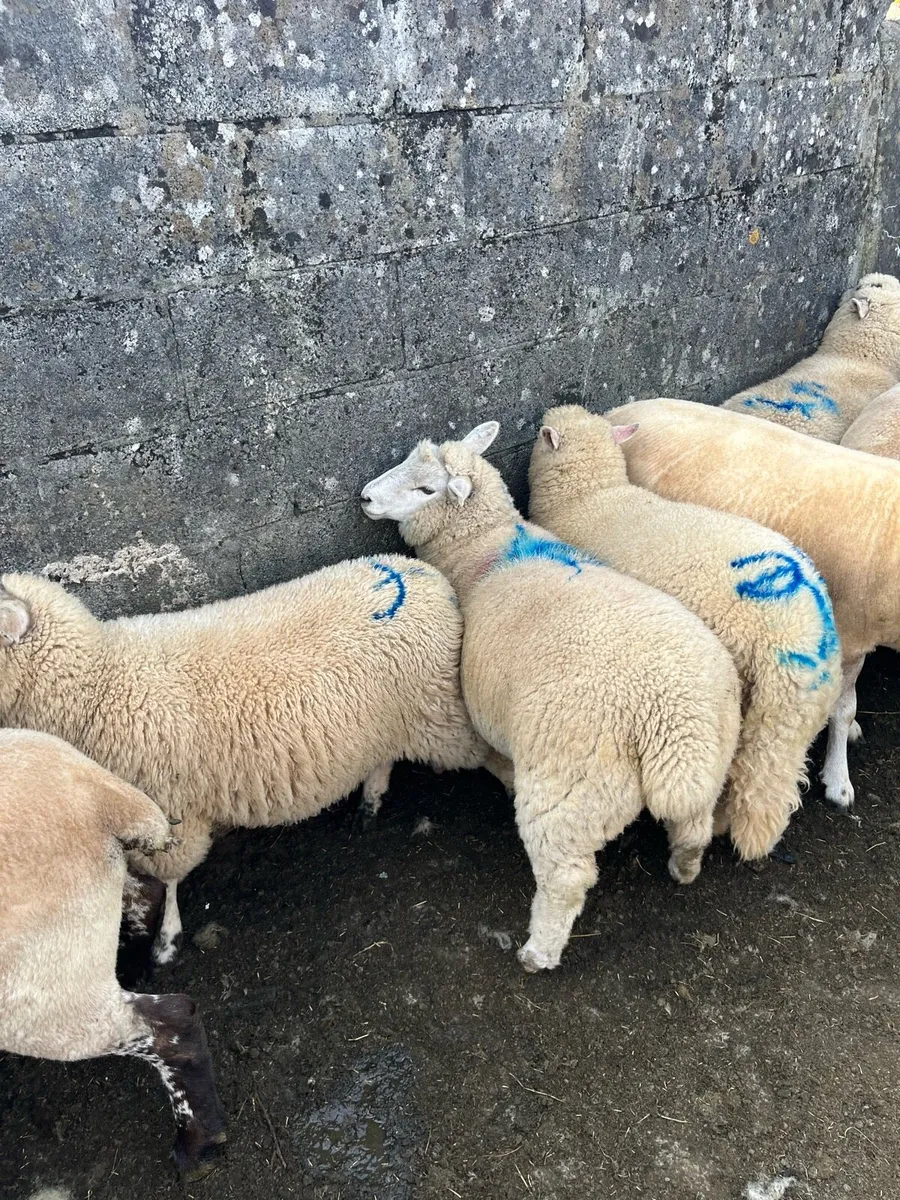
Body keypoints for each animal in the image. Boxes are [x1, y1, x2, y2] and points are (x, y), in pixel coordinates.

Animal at [0, 556, 489, 965]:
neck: (95, 685)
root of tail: (428, 577)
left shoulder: (171, 809)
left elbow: (169, 880)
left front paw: (166, 942)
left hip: (441, 711)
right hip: (384, 723)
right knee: (382, 759)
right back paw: (369, 804)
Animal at [0, 728, 226, 1181]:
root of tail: (99, 795)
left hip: (38, 994)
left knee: (171, 1021)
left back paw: (198, 1146)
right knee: (149, 893)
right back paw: (136, 963)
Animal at [361, 423, 742, 973]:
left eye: (427, 489)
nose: (366, 498)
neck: (484, 545)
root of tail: (670, 719)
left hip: (569, 790)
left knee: (565, 876)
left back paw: (538, 951)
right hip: (709, 758)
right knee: (694, 825)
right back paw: (683, 868)